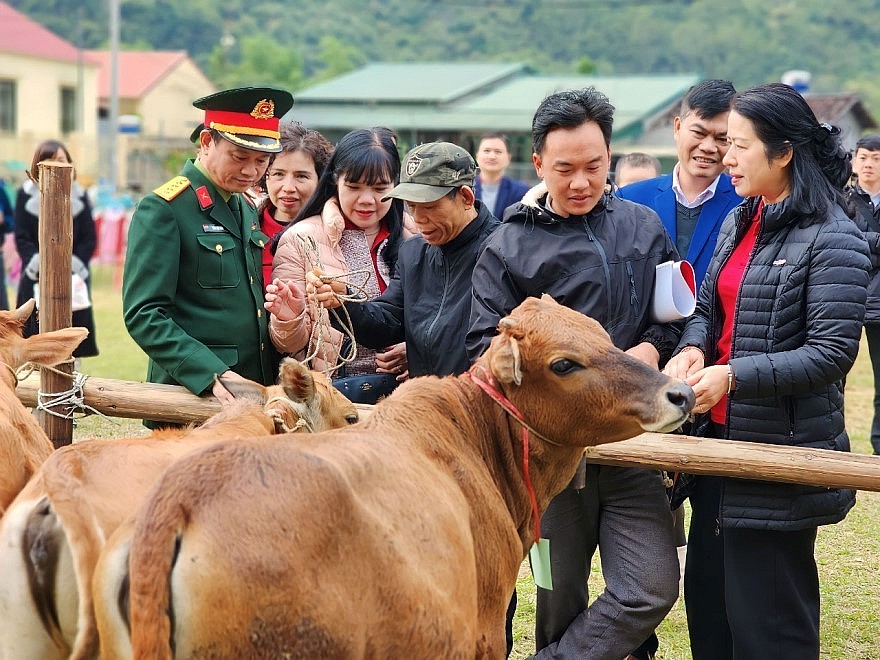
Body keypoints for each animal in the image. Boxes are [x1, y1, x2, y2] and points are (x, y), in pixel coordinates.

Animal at [117, 296, 692, 656]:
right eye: (565, 364)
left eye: (604, 337)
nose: (681, 393)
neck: (478, 441)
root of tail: (187, 495)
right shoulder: (484, 634)